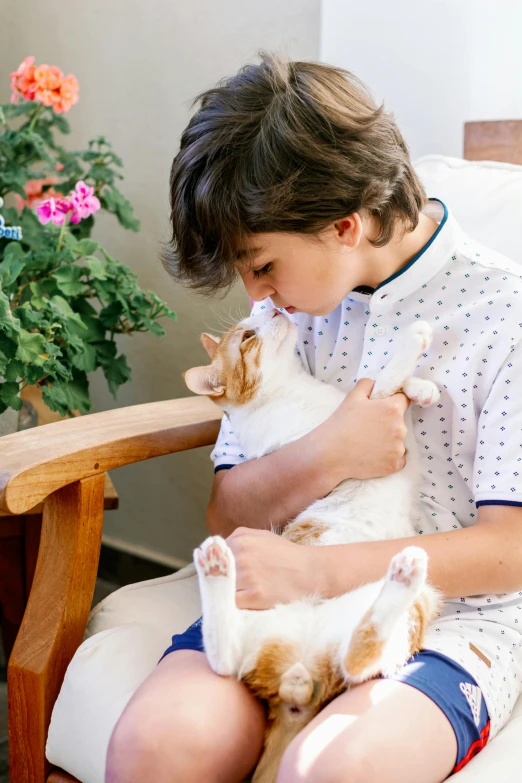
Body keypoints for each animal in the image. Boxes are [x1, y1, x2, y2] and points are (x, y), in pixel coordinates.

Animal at [185, 310, 440, 783]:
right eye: (247, 338)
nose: (273, 309)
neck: (290, 389)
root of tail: (296, 676)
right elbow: (381, 382)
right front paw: (410, 345)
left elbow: (388, 389)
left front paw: (421, 387)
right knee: (226, 659)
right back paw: (216, 565)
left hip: (405, 605)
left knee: (349, 657)